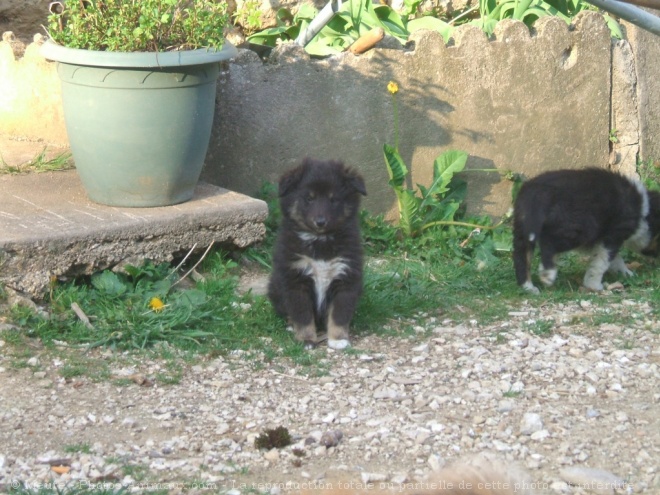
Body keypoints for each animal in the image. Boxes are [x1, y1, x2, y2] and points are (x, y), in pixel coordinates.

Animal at [270, 158, 372, 348]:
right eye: (309, 198)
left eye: (333, 200)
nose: (320, 222)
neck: (320, 240)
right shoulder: (296, 280)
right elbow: (303, 316)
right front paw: (306, 339)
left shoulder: (345, 278)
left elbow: (339, 314)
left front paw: (338, 339)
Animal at [516, 170, 660, 294]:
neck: (644, 212)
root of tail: (538, 190)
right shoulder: (612, 236)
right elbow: (601, 262)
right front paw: (594, 285)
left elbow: (614, 259)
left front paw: (626, 274)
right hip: (580, 228)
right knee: (548, 242)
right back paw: (548, 274)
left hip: (523, 228)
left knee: (522, 256)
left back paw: (528, 287)